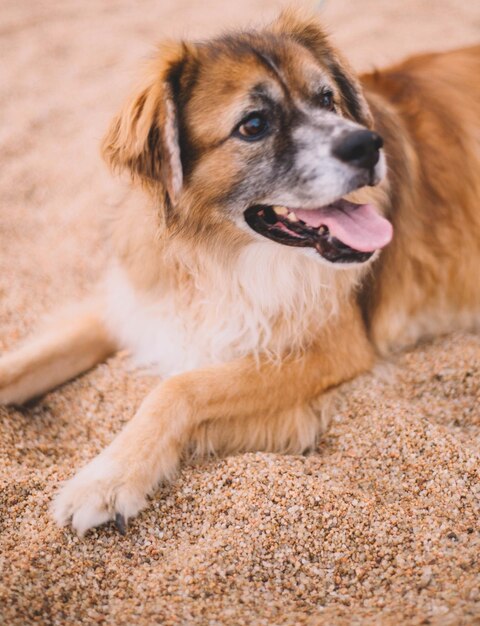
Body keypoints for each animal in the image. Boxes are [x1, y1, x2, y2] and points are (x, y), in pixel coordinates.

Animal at [0, 9, 480, 532]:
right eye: (254, 125)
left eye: (326, 98)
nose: (369, 145)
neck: (214, 256)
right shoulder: (138, 300)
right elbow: (26, 362)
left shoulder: (330, 348)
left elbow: (178, 387)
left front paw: (108, 478)